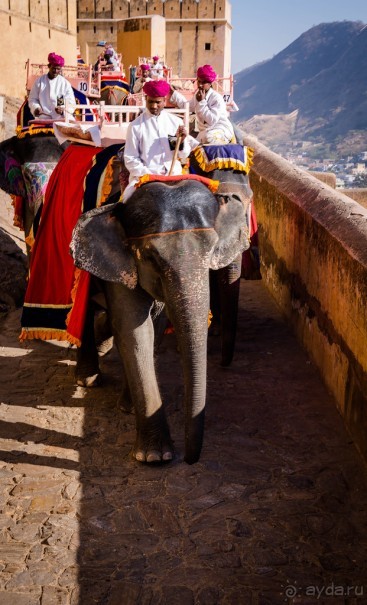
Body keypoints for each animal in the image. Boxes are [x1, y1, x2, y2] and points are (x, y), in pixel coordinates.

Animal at [70, 177, 252, 464]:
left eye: (212, 249)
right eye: (150, 257)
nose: (190, 460)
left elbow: (154, 323)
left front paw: (128, 407)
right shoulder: (121, 260)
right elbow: (134, 328)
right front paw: (154, 456)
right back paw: (87, 379)